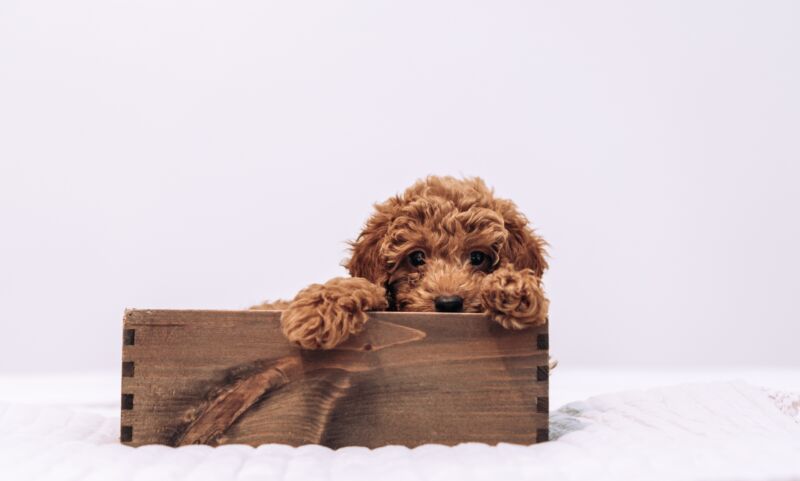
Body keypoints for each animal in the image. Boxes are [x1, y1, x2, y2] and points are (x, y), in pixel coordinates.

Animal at [256, 176, 552, 348]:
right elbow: (361, 285)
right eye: (417, 257)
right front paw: (315, 313)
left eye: (478, 257)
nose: (449, 303)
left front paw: (512, 289)